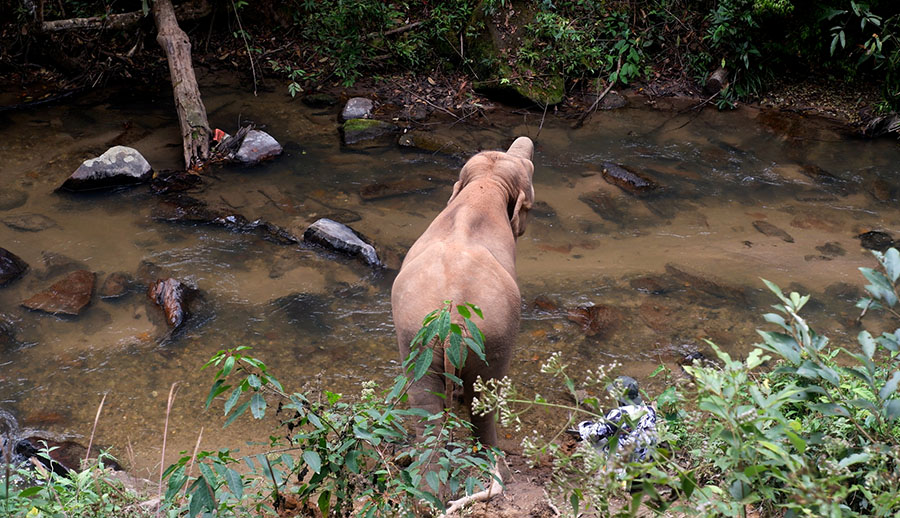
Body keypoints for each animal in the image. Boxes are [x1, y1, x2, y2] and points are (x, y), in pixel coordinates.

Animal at [388, 137, 536, 450]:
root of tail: (451, 322)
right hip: (493, 337)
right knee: (483, 403)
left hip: (415, 339)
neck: (486, 184)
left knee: (424, 404)